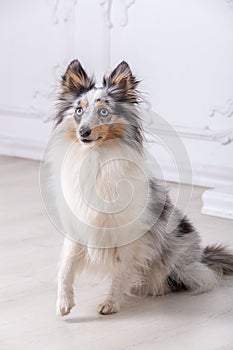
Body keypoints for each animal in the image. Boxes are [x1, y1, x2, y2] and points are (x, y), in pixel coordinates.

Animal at [46, 58, 233, 316]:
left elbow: (120, 269)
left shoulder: (129, 233)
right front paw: (63, 303)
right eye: (78, 110)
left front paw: (110, 303)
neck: (97, 158)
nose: (84, 132)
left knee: (189, 279)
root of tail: (202, 256)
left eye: (104, 112)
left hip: (179, 256)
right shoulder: (77, 226)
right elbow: (66, 265)